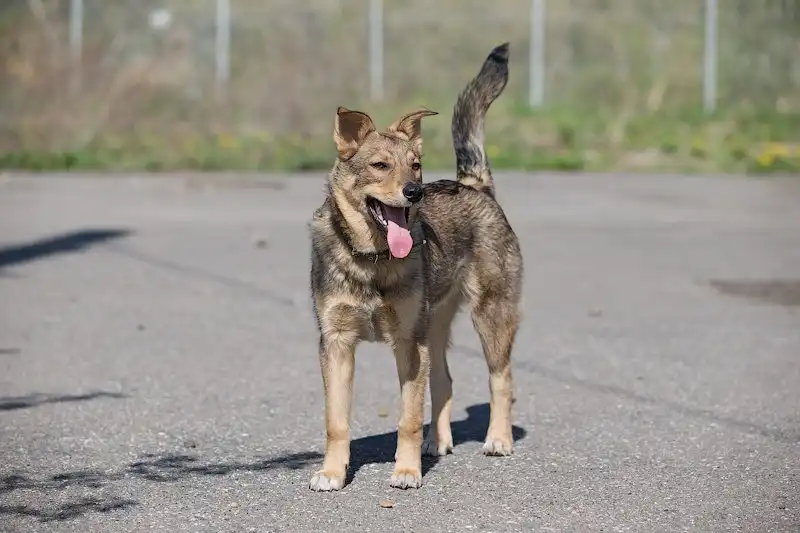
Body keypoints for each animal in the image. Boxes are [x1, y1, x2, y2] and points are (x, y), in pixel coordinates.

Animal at [308, 42, 523, 491]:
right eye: (380, 166)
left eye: (416, 165)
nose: (414, 191)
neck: (372, 261)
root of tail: (474, 184)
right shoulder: (335, 343)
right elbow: (336, 421)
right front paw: (332, 473)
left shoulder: (408, 343)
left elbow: (407, 417)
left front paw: (405, 472)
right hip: (435, 326)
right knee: (444, 381)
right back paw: (437, 441)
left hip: (490, 316)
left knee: (502, 379)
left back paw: (498, 438)